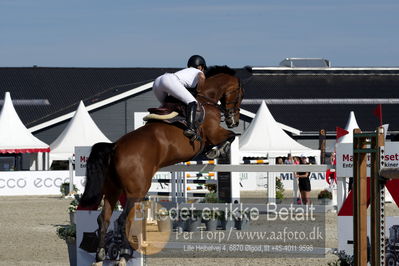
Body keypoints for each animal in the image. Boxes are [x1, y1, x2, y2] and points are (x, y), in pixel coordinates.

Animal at [79, 65, 244, 264]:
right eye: (240, 95)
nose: (234, 121)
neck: (206, 99)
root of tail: (115, 146)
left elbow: (229, 137)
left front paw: (217, 150)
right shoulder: (214, 133)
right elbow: (230, 136)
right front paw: (218, 151)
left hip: (113, 189)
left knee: (104, 219)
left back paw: (100, 256)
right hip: (136, 191)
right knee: (123, 220)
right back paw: (124, 255)